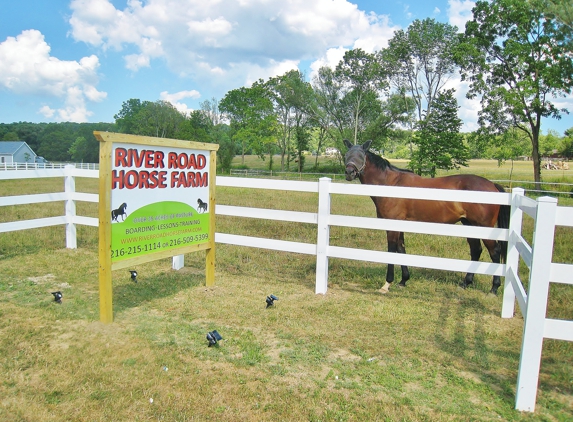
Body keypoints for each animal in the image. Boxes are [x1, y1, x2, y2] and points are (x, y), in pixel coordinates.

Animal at [344, 140, 510, 296]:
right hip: (469, 224)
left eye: (361, 155)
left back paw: (494, 289)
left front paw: (387, 284)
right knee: (476, 250)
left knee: (494, 252)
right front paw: (403, 280)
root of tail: (492, 186)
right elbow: (401, 249)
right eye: (346, 154)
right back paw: (465, 283)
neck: (391, 183)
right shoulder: (400, 225)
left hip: (483, 226)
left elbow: (392, 251)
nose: (349, 172)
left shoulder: (392, 226)